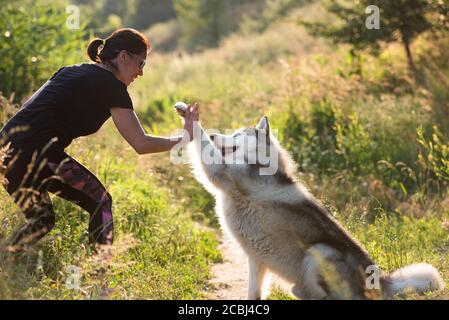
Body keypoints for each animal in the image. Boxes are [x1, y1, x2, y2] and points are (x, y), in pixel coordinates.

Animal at [185, 115, 440, 300]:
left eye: (237, 134)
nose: (215, 134)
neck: (258, 163)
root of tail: (381, 280)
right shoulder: (257, 261)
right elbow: (253, 293)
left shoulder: (221, 172)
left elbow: (204, 147)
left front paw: (190, 119)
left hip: (319, 251)